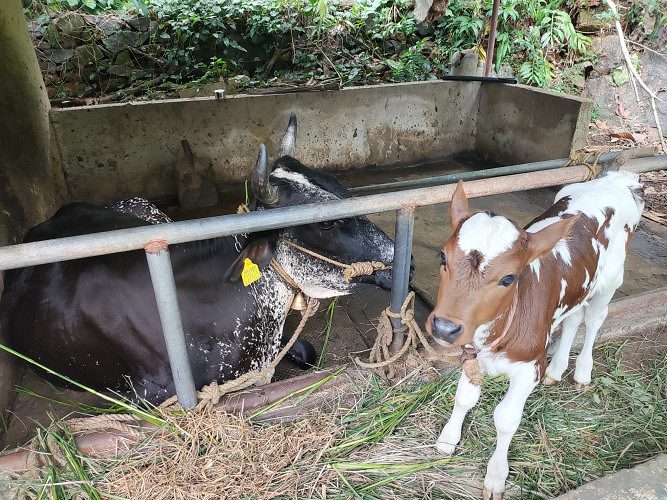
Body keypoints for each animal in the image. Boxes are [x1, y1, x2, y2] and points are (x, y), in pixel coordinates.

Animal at [426, 172, 644, 499]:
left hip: (611, 279)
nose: (444, 327)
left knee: (594, 319)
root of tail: (617, 179)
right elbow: (464, 398)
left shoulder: (529, 368)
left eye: (509, 278)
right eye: (442, 258)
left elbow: (505, 419)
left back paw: (582, 372)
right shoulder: (471, 352)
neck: (496, 336)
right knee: (573, 318)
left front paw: (496, 476)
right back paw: (557, 370)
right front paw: (448, 439)